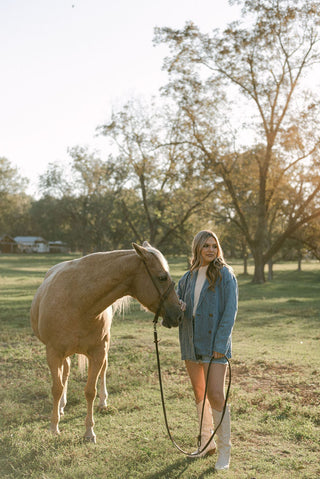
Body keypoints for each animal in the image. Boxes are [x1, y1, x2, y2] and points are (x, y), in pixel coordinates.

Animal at [30, 242, 182, 444]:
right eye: (162, 277)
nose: (180, 313)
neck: (78, 301)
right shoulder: (53, 353)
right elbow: (56, 388)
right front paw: (54, 427)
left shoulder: (98, 352)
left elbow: (90, 391)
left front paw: (89, 432)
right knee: (65, 374)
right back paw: (61, 406)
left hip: (104, 347)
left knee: (102, 371)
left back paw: (102, 402)